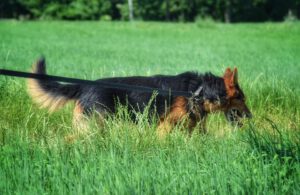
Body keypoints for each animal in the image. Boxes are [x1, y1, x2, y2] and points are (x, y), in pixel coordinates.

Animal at [28, 57, 252, 137]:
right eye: (241, 98)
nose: (250, 116)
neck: (198, 91)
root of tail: (84, 86)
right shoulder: (164, 127)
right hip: (92, 126)